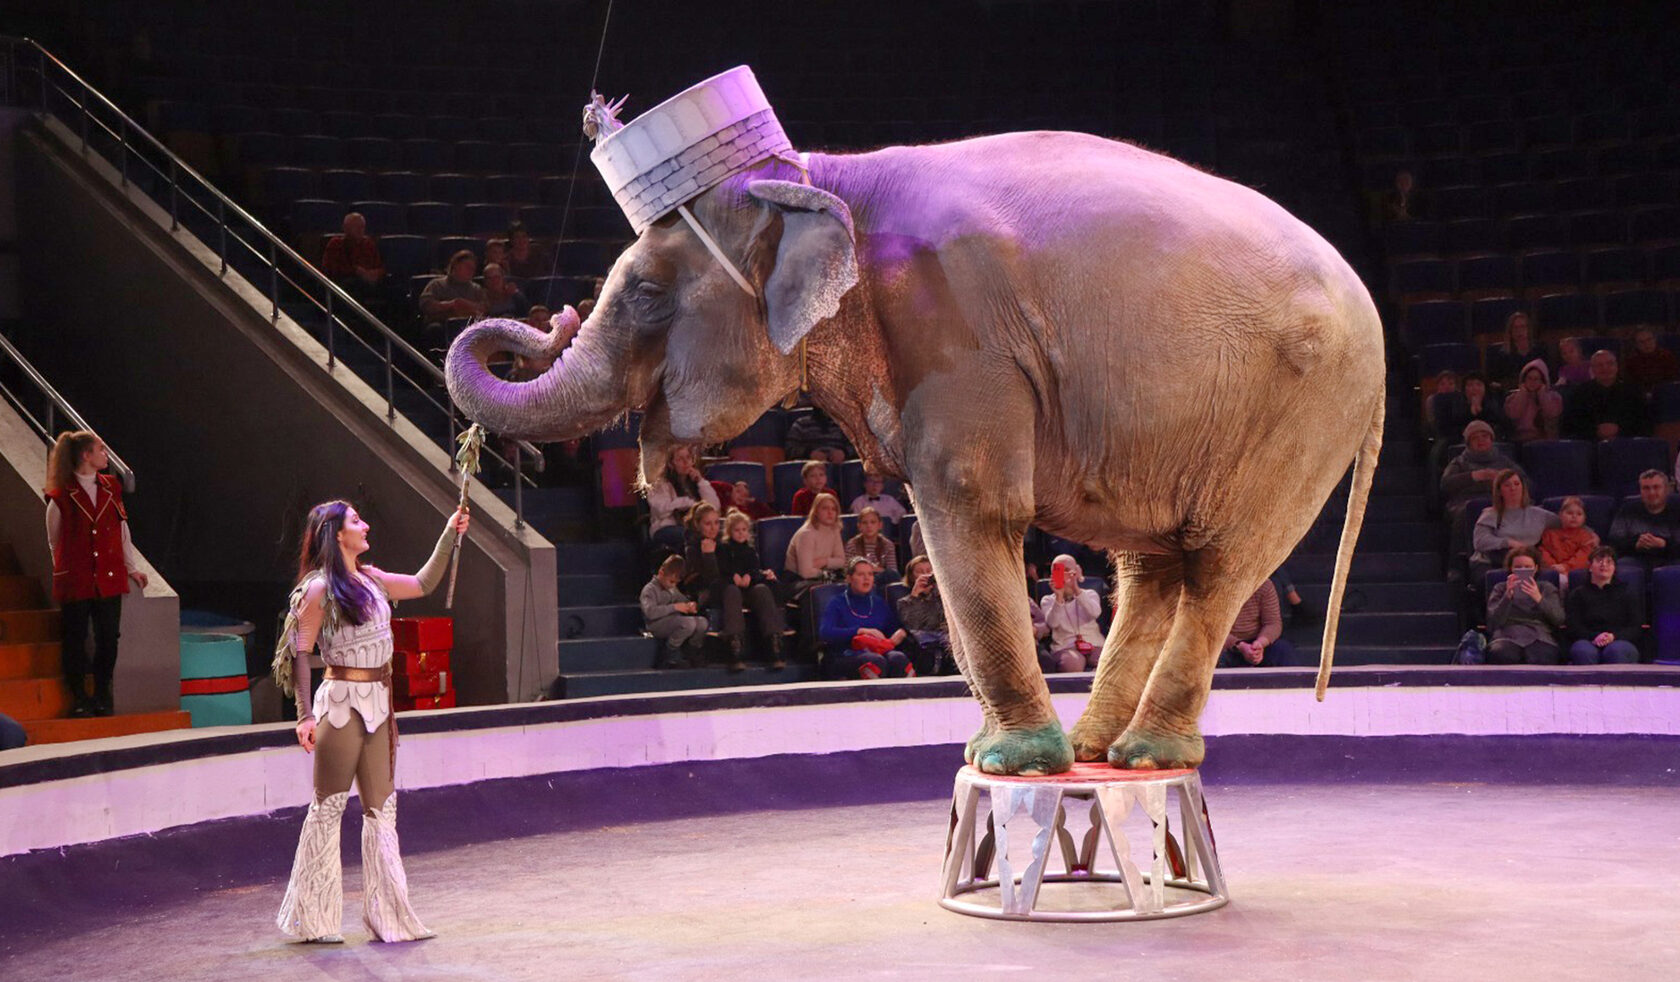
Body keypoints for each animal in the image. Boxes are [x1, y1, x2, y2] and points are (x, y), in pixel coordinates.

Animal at [446, 128, 1377, 772]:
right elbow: (943, 534)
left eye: (642, 293)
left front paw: (1009, 764)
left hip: (1302, 416)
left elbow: (969, 503)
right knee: (1152, 567)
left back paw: (1143, 756)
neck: (821, 181)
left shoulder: (955, 327)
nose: (544, 321)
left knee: (1220, 566)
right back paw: (1094, 750)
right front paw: (994, 755)